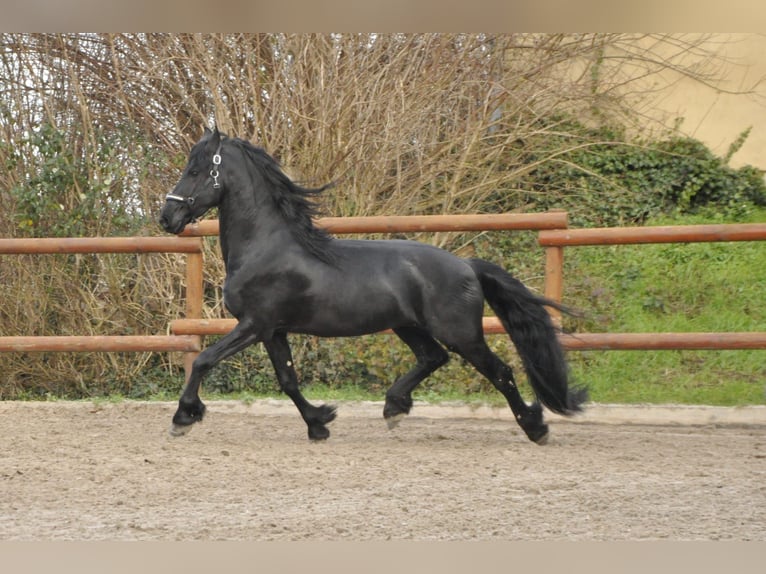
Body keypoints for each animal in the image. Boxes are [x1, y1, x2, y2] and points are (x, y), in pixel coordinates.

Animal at [159, 127, 587, 444]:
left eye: (196, 171)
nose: (167, 217)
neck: (265, 247)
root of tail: (466, 265)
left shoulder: (254, 325)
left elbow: (203, 359)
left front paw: (183, 417)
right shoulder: (273, 330)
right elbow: (288, 380)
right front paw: (320, 422)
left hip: (460, 333)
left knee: (499, 372)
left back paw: (536, 428)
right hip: (409, 326)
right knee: (433, 358)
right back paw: (394, 407)